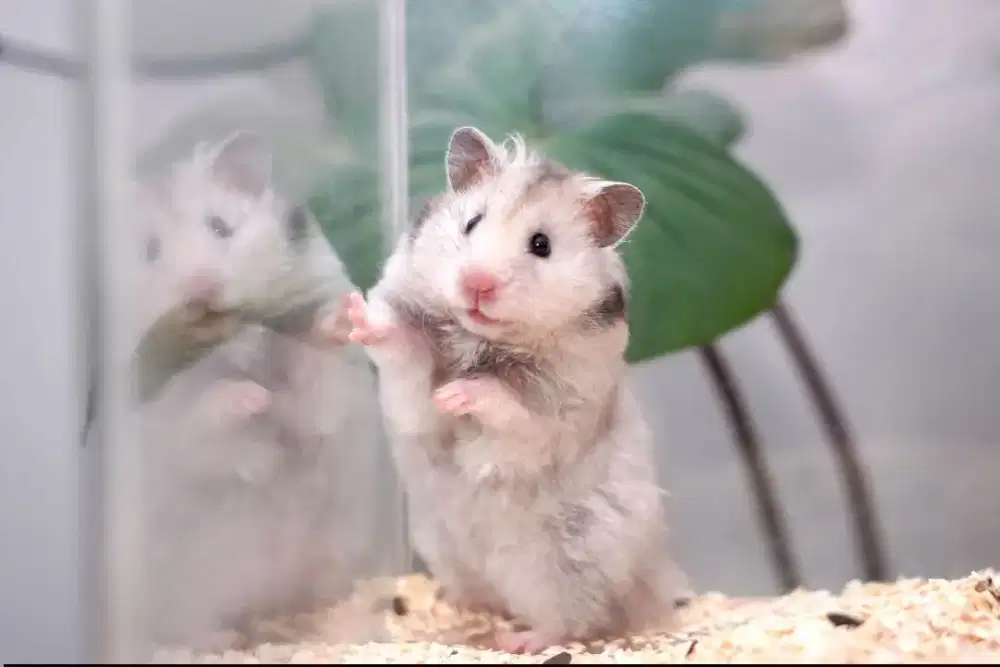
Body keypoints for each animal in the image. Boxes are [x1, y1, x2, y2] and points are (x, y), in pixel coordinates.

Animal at [131, 133, 383, 650]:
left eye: (221, 226)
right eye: (150, 250)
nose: (201, 288)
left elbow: (316, 375)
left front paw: (345, 319)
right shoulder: (164, 404)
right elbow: (206, 411)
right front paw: (255, 401)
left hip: (340, 553)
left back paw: (339, 629)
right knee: (188, 622)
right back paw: (219, 642)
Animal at [342, 126, 681, 653]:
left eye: (541, 245)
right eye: (471, 222)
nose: (476, 284)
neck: (481, 340)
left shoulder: (558, 413)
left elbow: (508, 406)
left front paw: (458, 394)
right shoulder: (410, 368)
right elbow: (402, 346)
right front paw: (352, 313)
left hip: (564, 560)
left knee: (576, 619)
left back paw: (518, 640)